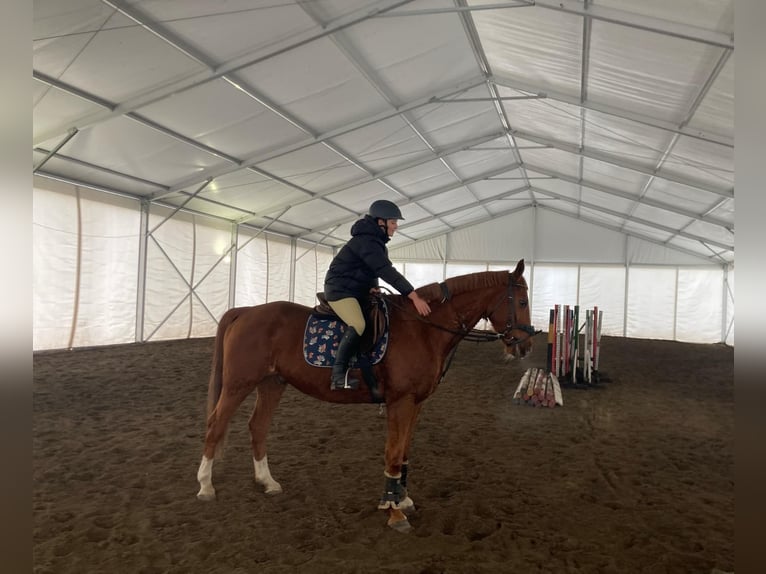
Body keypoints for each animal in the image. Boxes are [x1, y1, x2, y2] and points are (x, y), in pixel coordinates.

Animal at [195, 258, 536, 532]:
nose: (524, 346)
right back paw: (206, 486)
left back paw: (267, 481)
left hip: (272, 383)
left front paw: (402, 498)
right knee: (215, 426)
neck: (424, 329)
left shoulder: (416, 404)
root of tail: (246, 312)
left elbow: (404, 452)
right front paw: (394, 512)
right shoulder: (400, 402)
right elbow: (393, 454)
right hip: (239, 384)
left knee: (258, 427)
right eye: (521, 302)